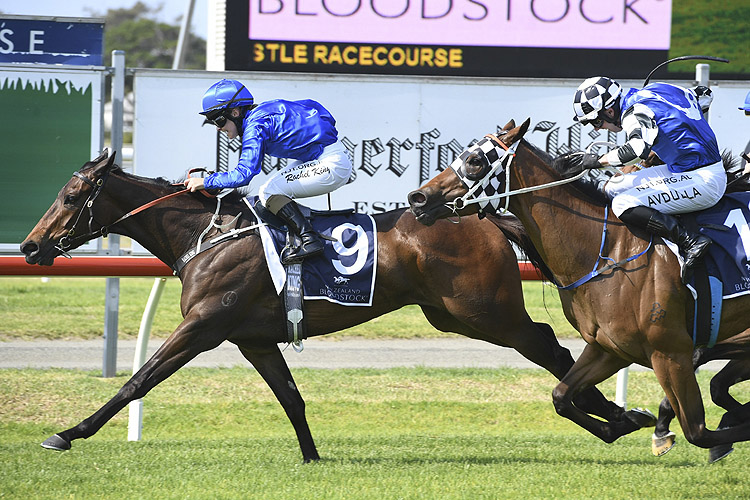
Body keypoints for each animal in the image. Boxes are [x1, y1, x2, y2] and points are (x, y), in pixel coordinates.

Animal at [19, 150, 636, 462]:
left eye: (70, 197)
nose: (28, 248)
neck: (206, 234)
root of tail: (483, 215)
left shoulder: (203, 325)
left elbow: (138, 380)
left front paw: (68, 432)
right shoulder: (254, 338)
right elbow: (291, 398)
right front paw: (312, 457)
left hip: (484, 311)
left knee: (550, 347)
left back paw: (617, 417)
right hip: (454, 314)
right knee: (554, 350)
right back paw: (622, 417)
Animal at [412, 119, 750, 458]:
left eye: (475, 160)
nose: (418, 198)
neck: (607, 252)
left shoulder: (670, 352)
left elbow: (698, 431)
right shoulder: (609, 348)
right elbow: (561, 396)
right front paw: (627, 421)